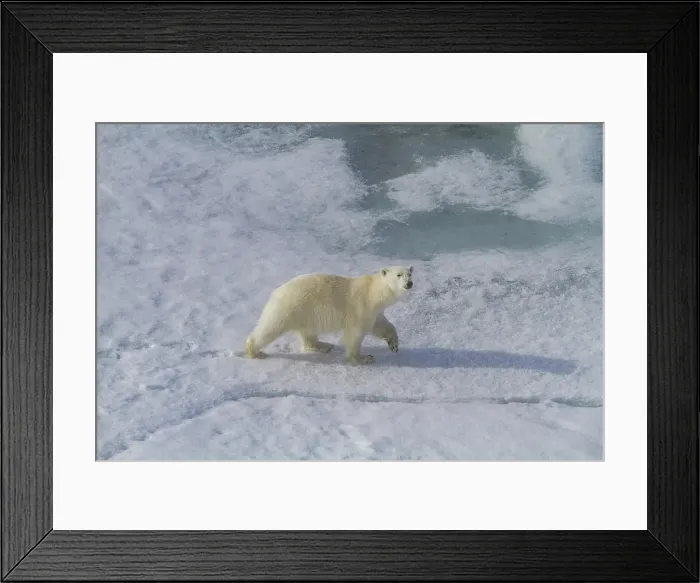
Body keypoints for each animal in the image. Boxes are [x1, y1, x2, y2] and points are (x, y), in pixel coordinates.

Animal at [244, 266, 413, 364]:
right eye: (399, 275)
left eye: (410, 274)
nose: (409, 284)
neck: (374, 292)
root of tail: (276, 292)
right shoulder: (361, 307)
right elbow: (356, 333)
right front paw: (363, 358)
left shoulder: (375, 311)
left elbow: (382, 325)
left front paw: (394, 344)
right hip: (290, 307)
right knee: (271, 327)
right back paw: (254, 351)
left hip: (305, 312)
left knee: (307, 333)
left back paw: (324, 345)